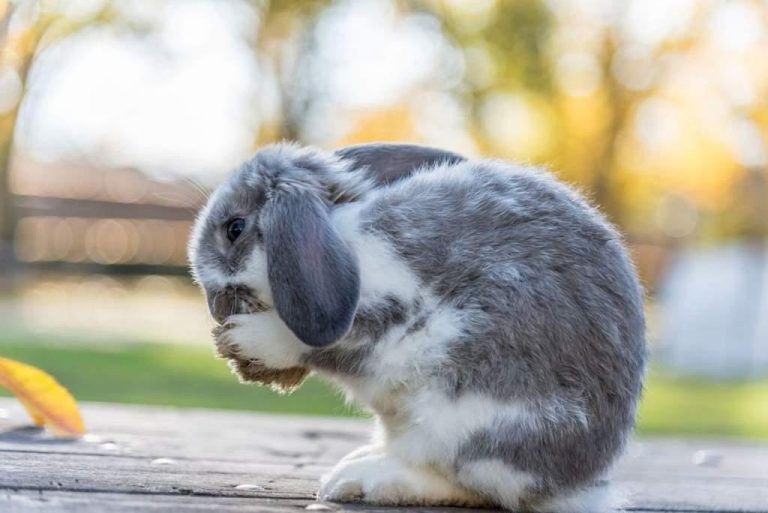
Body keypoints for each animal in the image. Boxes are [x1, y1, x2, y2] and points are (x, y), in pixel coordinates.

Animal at [188, 142, 647, 512]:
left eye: (234, 228)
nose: (215, 307)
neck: (343, 237)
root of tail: (577, 486)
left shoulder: (391, 310)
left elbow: (324, 343)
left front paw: (245, 338)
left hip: (464, 418)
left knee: (470, 483)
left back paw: (365, 480)